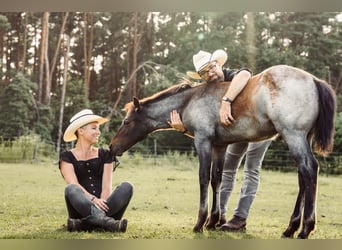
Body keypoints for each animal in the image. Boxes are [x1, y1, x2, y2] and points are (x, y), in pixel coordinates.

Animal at [110, 64, 336, 238]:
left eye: (126, 122)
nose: (113, 146)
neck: (189, 101)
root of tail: (314, 79)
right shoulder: (220, 146)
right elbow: (216, 179)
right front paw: (213, 221)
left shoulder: (203, 141)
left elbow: (203, 178)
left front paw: (200, 223)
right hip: (302, 138)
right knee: (303, 177)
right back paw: (291, 228)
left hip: (293, 136)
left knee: (309, 170)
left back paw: (305, 229)